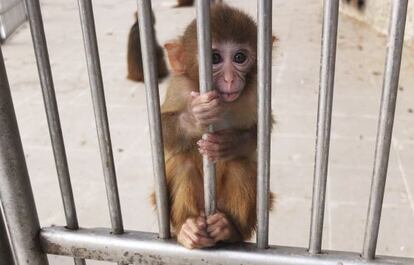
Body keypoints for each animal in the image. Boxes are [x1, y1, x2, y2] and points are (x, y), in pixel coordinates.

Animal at [152, 3, 274, 249]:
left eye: (239, 57)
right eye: (215, 58)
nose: (229, 79)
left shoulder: (255, 91)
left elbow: (263, 130)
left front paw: (228, 143)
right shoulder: (180, 87)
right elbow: (161, 130)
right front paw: (195, 117)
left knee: (240, 166)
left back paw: (228, 229)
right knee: (183, 163)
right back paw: (188, 228)